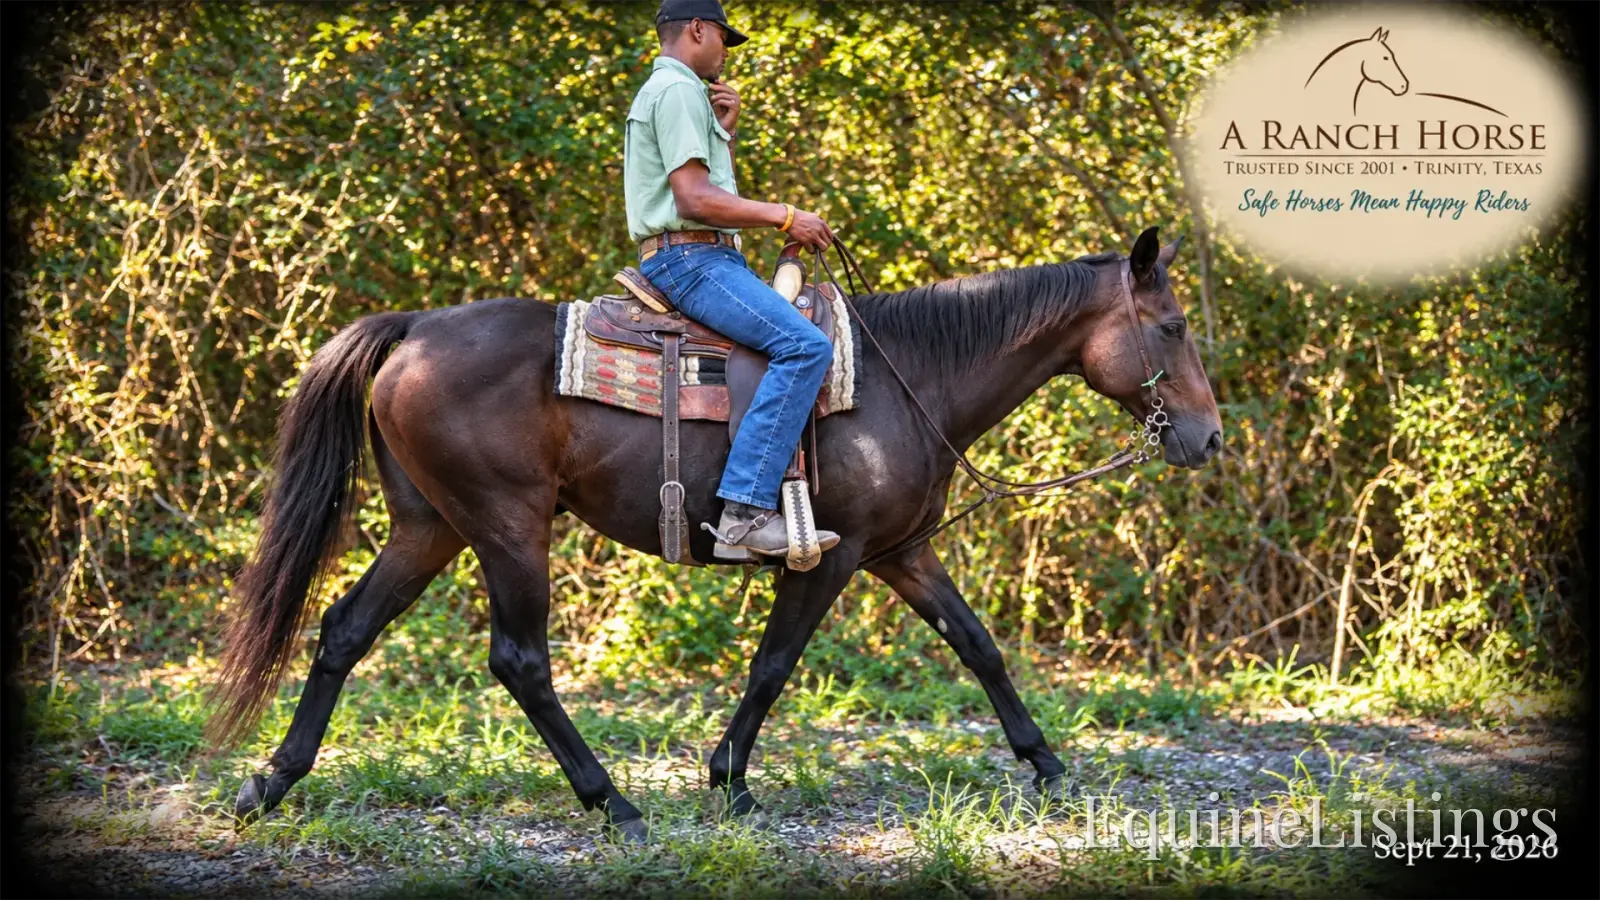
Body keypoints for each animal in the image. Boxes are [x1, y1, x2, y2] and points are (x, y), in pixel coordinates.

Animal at [207, 225, 1223, 842]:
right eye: (1173, 326)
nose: (1208, 439)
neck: (910, 377)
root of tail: (414, 329)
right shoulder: (830, 559)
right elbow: (773, 666)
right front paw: (728, 778)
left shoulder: (902, 552)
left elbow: (978, 645)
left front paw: (1047, 765)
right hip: (506, 525)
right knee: (520, 661)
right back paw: (613, 804)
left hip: (430, 527)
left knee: (344, 629)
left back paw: (271, 783)